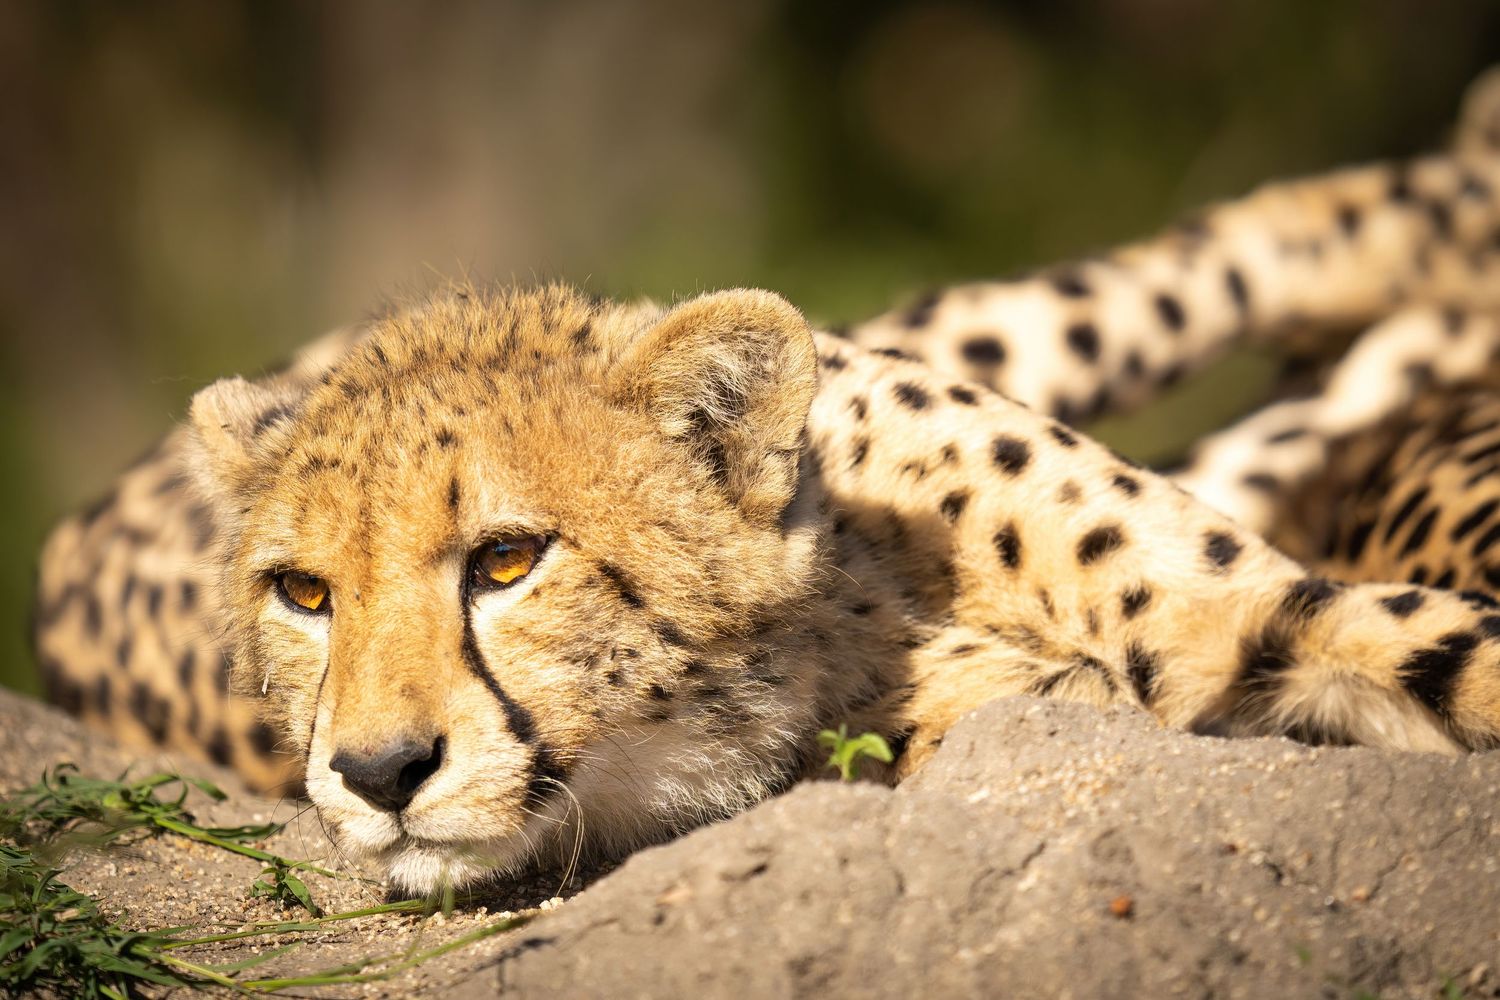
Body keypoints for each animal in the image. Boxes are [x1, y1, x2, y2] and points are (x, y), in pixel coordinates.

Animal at [28, 70, 1500, 893]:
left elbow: (1443, 647)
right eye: (303, 593)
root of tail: (61, 550)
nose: (380, 773)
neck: (847, 610)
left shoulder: (1246, 611)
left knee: (1282, 235)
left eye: (506, 559)